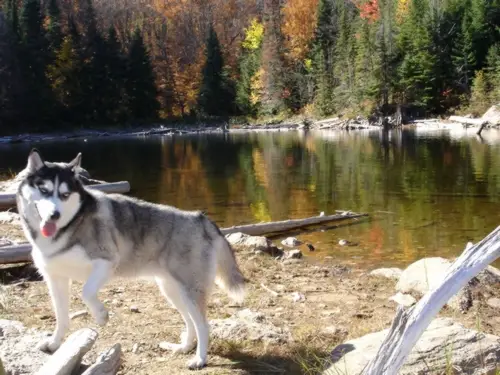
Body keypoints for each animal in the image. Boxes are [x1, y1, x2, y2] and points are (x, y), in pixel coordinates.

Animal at [16, 149, 247, 370]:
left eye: (64, 194)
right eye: (44, 190)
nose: (54, 215)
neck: (72, 223)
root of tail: (201, 218)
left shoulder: (106, 261)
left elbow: (87, 291)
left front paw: (101, 316)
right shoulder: (56, 279)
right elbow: (62, 317)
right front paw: (54, 344)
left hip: (190, 290)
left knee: (203, 325)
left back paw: (200, 359)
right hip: (173, 291)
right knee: (190, 321)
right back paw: (184, 347)